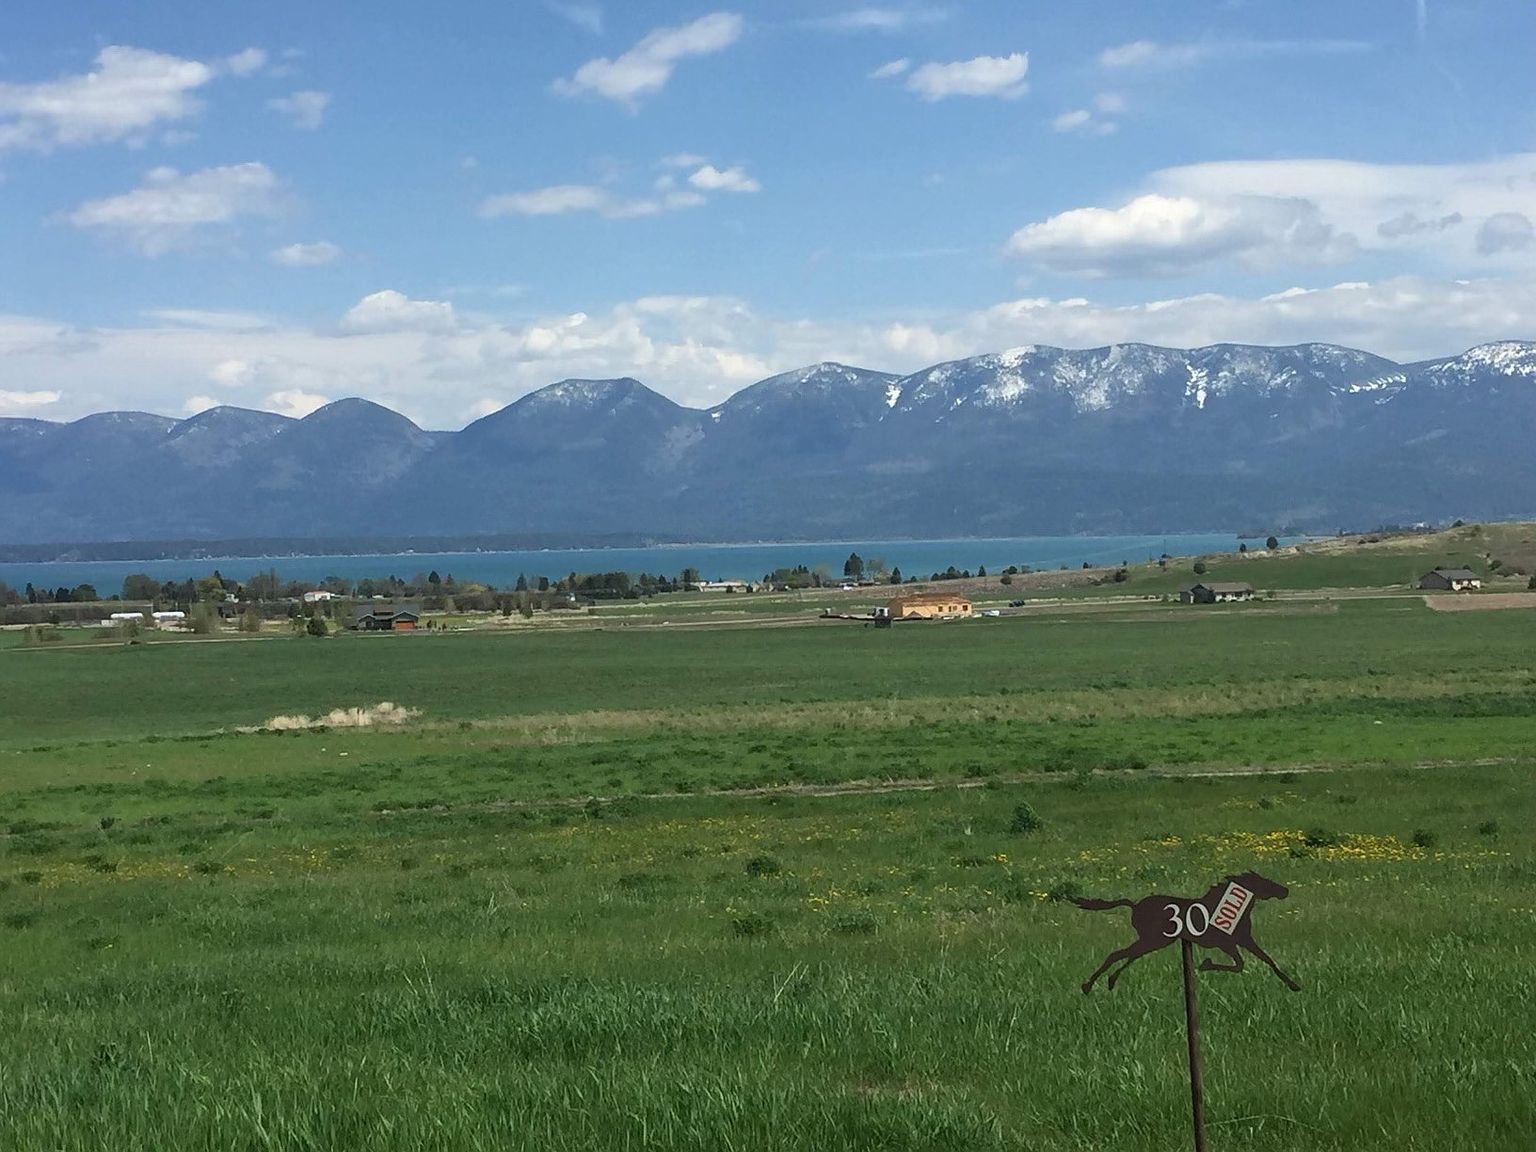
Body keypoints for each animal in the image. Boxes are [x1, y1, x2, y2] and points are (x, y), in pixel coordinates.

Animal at [1072, 871, 1300, 993]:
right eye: (1264, 882)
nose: (1285, 891)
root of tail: (1135, 905)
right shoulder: (1227, 944)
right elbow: (1239, 964)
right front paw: (1205, 964)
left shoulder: (1245, 940)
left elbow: (1268, 960)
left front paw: (1293, 985)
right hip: (1155, 940)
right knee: (1120, 954)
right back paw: (1093, 985)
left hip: (1153, 941)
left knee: (1126, 955)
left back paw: (1104, 983)